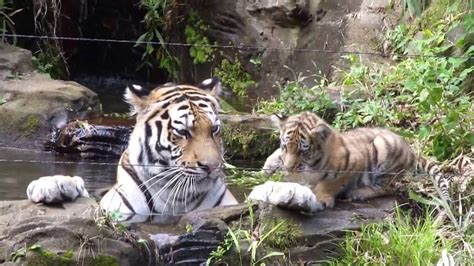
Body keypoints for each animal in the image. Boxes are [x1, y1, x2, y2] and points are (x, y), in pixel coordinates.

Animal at [250, 111, 450, 213]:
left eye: (302, 150)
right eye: (285, 146)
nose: (289, 167)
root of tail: (411, 150)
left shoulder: (353, 164)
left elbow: (330, 182)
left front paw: (322, 198)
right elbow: (276, 157)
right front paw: (267, 169)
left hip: (383, 152)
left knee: (389, 187)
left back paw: (359, 193)